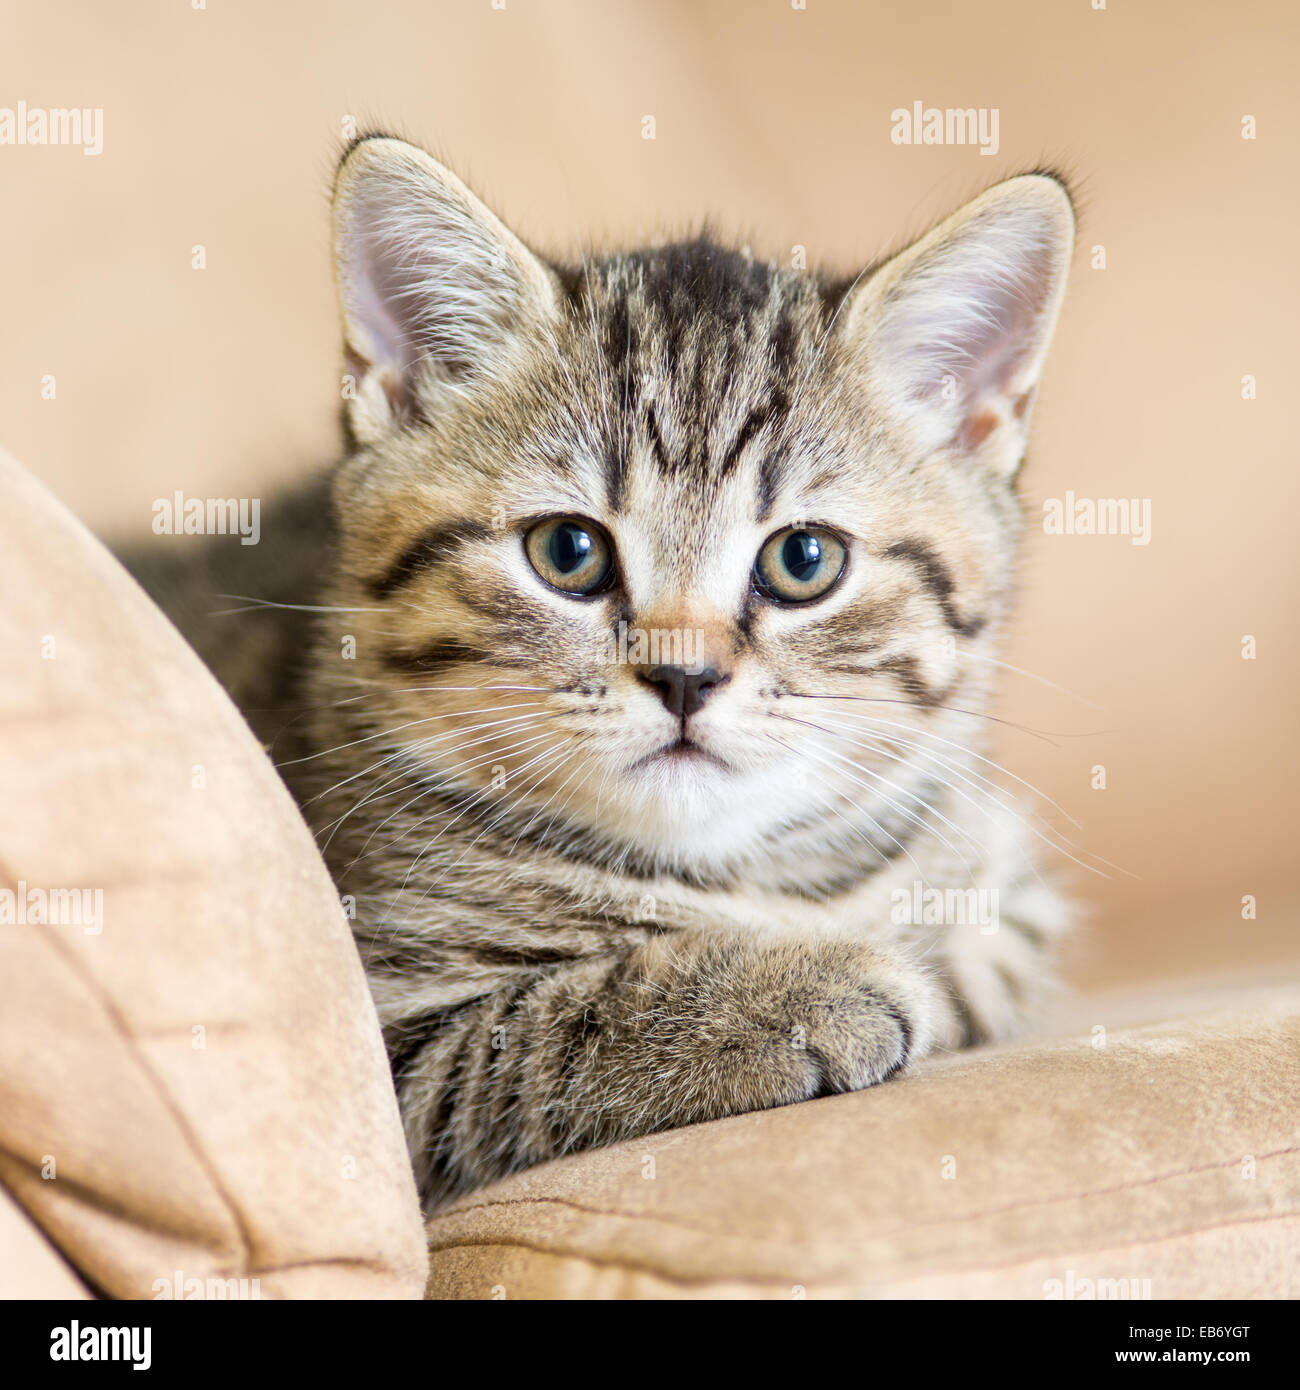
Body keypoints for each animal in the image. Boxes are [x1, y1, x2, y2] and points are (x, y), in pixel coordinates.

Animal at [127, 135, 1073, 1212]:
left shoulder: (1006, 880)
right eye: (567, 551)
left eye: (804, 560)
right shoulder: (376, 1057)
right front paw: (797, 991)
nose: (684, 678)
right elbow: (539, 1030)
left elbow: (988, 950)